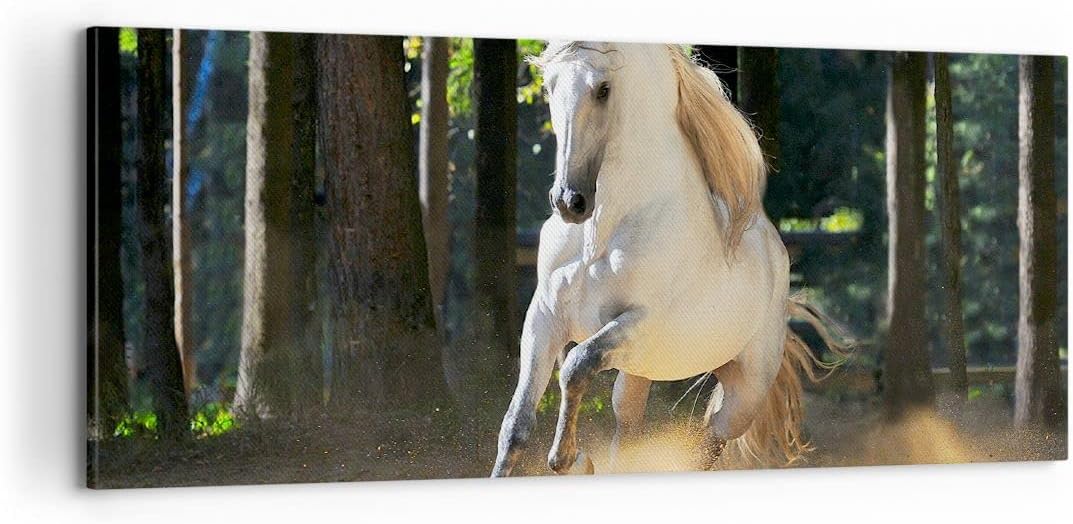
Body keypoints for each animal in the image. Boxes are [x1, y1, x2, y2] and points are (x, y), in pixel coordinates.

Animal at [490, 41, 850, 477]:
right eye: (549, 86)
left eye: (603, 89)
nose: (569, 202)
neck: (602, 234)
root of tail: (778, 259)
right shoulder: (544, 317)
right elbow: (515, 425)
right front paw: (571, 460)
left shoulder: (639, 324)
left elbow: (576, 364)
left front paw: (567, 457)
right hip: (639, 372)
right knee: (628, 425)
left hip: (743, 394)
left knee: (708, 441)